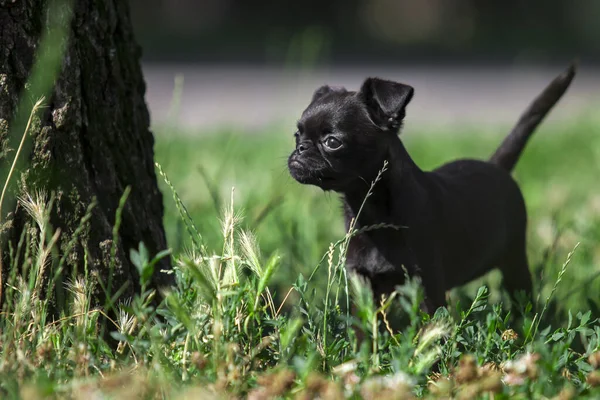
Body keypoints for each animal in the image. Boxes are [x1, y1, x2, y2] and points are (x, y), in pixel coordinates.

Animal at [290, 65, 576, 312]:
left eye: (332, 142)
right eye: (297, 135)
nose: (300, 148)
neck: (371, 209)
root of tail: (496, 166)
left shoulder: (427, 285)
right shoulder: (364, 285)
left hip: (514, 261)